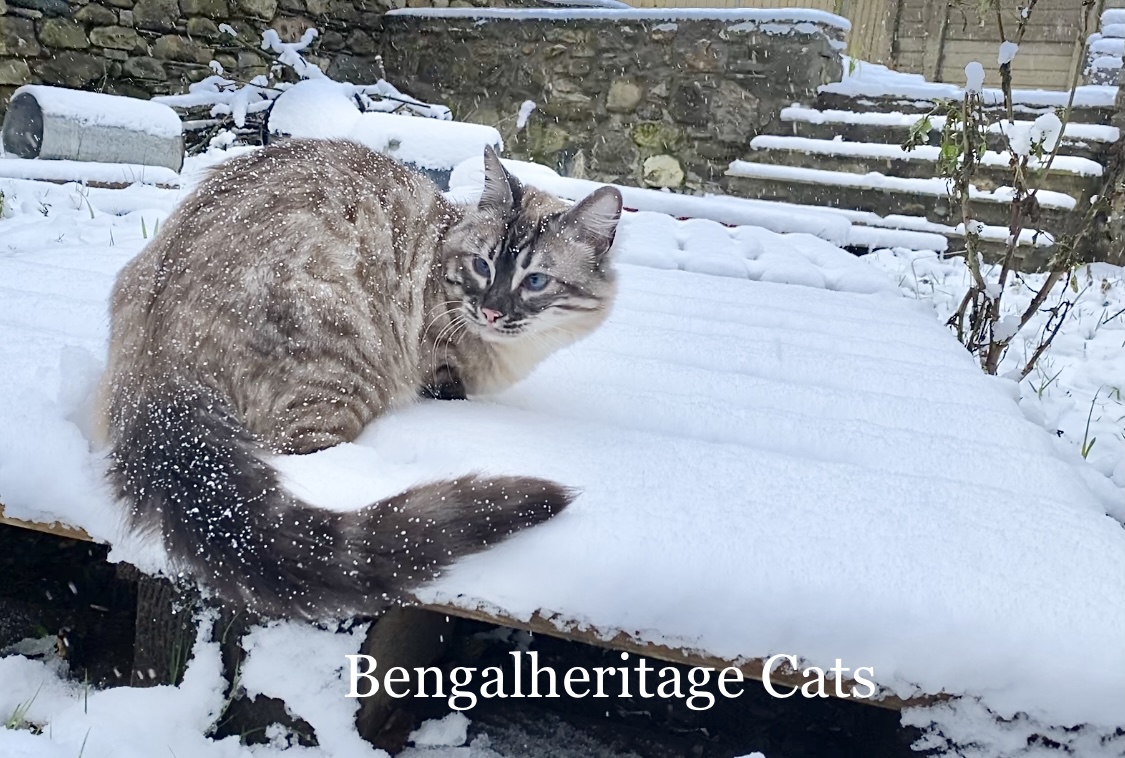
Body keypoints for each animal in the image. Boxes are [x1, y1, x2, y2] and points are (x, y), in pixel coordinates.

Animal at [96, 137, 625, 620]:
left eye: (534, 281)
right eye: (482, 265)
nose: (491, 311)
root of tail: (161, 365)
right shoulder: (441, 369)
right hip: (345, 371)